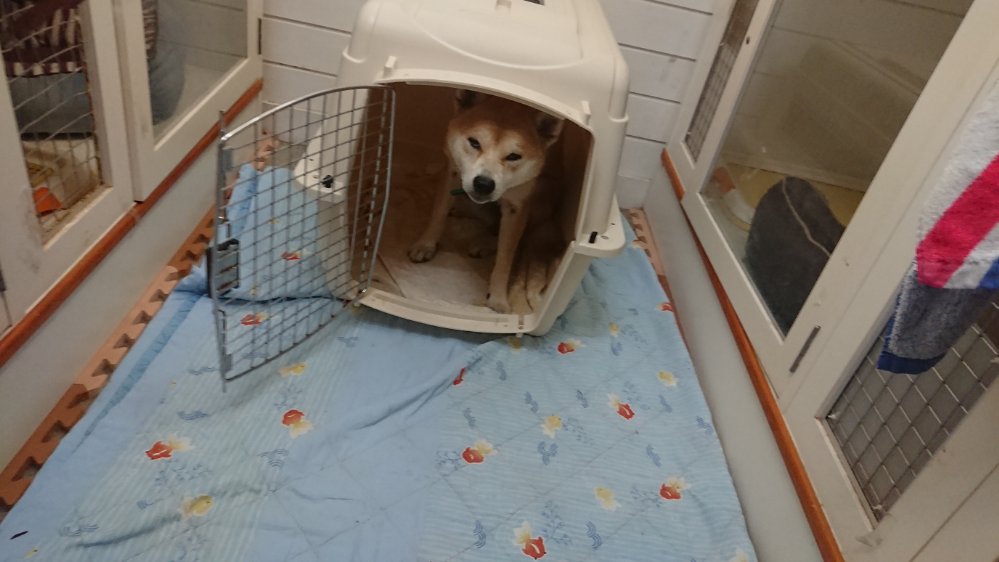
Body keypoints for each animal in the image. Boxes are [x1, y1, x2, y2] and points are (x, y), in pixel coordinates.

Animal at [408, 90, 564, 313]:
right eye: (474, 142)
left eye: (514, 156)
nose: (483, 183)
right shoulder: (452, 172)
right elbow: (437, 215)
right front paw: (425, 244)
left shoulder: (517, 206)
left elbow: (506, 257)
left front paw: (498, 298)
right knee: (487, 220)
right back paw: (462, 212)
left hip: (541, 195)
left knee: (518, 240)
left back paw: (484, 243)